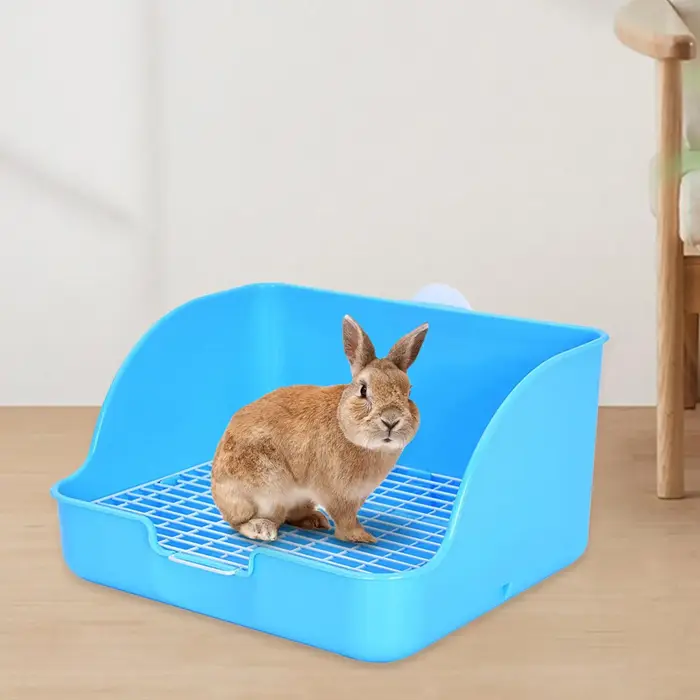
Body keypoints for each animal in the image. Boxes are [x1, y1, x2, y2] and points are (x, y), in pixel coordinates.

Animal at [210, 314, 429, 544]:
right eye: (363, 390)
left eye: (409, 393)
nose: (391, 420)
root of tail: (216, 492)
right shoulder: (337, 494)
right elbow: (345, 518)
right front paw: (362, 537)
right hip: (266, 493)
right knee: (241, 522)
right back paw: (262, 530)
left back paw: (315, 520)